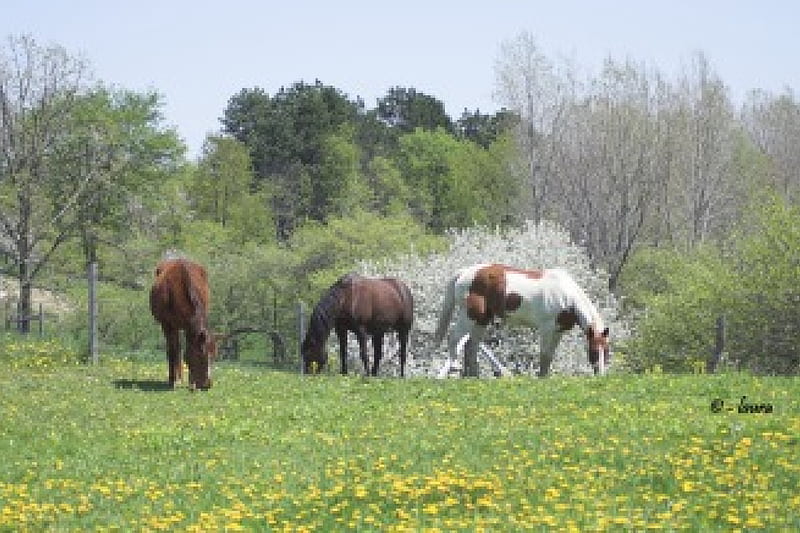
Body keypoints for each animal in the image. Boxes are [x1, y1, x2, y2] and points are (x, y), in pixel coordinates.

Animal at [149, 256, 216, 386]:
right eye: (201, 355)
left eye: (214, 355)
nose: (207, 384)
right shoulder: (167, 324)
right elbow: (173, 350)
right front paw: (174, 380)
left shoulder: (188, 326)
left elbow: (186, 347)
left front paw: (190, 382)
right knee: (174, 347)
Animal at [434, 264, 608, 376]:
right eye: (593, 351)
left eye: (606, 351)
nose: (600, 375)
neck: (568, 298)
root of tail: (464, 272)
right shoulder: (547, 330)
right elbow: (544, 355)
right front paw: (542, 378)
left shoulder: (558, 332)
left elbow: (550, 356)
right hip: (469, 316)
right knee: (454, 337)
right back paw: (455, 367)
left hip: (482, 320)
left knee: (471, 346)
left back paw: (474, 376)